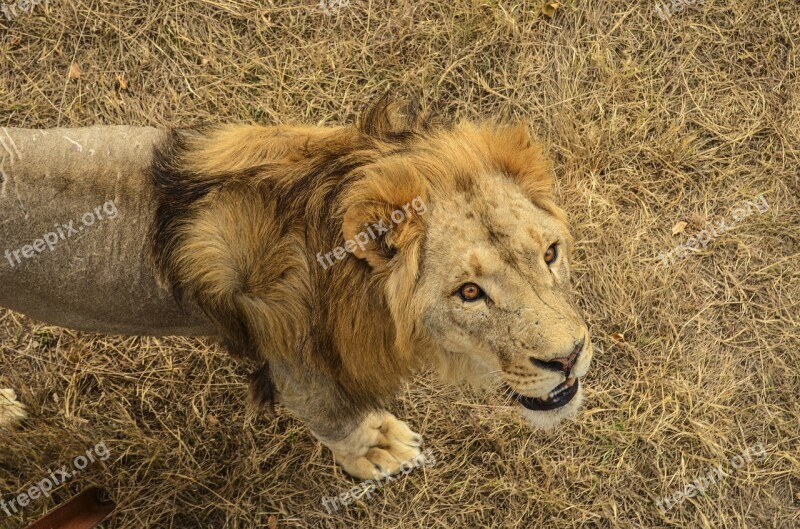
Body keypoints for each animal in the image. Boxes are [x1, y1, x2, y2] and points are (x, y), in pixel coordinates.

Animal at [0, 99, 592, 478]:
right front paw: (377, 449)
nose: (569, 358)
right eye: (469, 293)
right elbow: (340, 424)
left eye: (550, 253)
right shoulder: (298, 373)